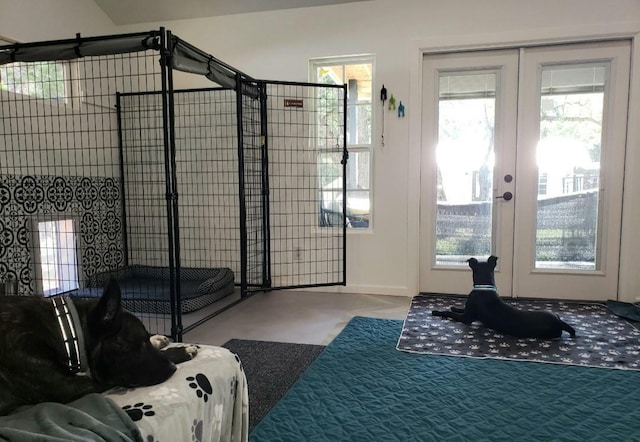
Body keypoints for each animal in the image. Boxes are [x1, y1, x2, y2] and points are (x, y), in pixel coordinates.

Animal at [0, 278, 198, 416]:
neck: (66, 331)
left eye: (145, 339)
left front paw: (157, 339)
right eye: (138, 342)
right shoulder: (74, 385)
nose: (172, 368)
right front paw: (180, 352)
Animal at [436, 256, 576, 338]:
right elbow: (459, 308)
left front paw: (438, 312)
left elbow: (450, 314)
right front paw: (454, 307)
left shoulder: (466, 318)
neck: (484, 288)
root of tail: (558, 322)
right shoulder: (467, 311)